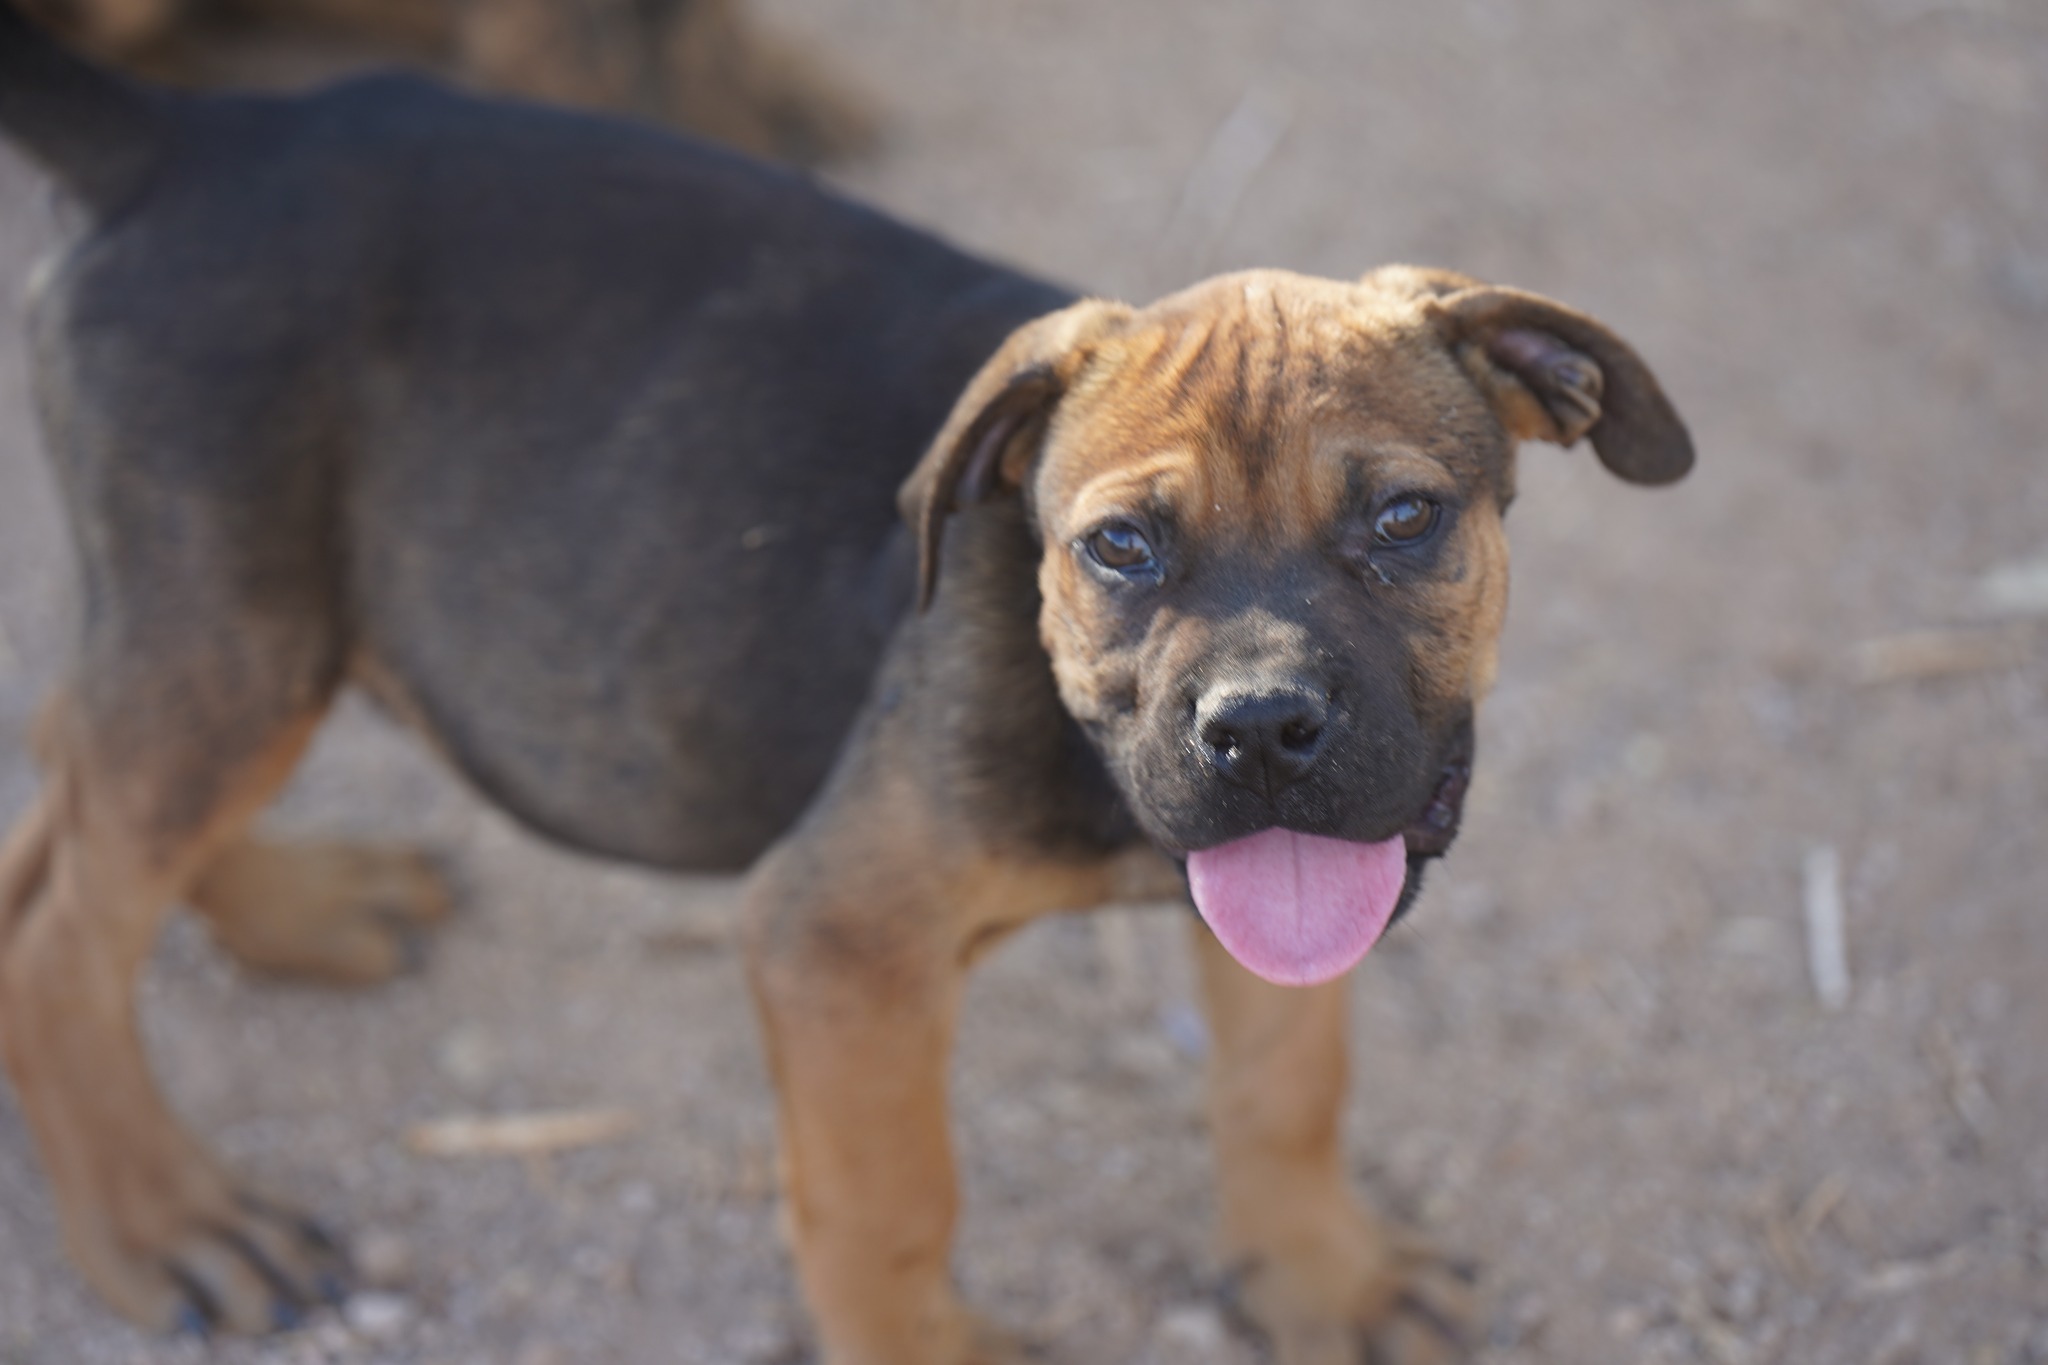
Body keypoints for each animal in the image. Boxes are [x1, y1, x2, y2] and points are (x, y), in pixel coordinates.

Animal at [0, 15, 1695, 1358]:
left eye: (1405, 520)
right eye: (1122, 547)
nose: (1263, 728)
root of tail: (187, 134)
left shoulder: (1300, 879)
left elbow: (1289, 1080)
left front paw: (1320, 1276)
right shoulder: (839, 941)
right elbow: (891, 1202)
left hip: (230, 634)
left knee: (67, 784)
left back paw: (295, 909)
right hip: (239, 629)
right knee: (63, 930)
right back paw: (162, 1216)